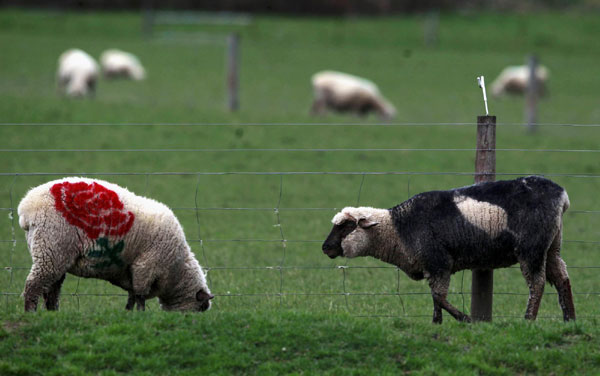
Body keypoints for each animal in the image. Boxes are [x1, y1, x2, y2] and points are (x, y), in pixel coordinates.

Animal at [18, 178, 213, 312]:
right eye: (202, 307)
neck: (177, 268)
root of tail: (26, 207)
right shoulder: (146, 266)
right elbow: (140, 296)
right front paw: (140, 314)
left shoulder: (130, 271)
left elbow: (132, 296)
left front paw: (128, 313)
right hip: (51, 248)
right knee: (33, 285)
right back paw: (31, 313)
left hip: (55, 254)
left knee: (52, 290)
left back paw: (53, 313)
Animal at [324, 176, 576, 324]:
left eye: (346, 226)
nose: (325, 247)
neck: (396, 228)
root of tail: (562, 195)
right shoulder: (432, 266)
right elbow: (436, 298)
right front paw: (437, 324)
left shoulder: (438, 262)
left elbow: (438, 296)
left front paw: (466, 319)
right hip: (552, 245)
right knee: (562, 278)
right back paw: (570, 320)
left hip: (531, 247)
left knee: (537, 283)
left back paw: (528, 320)